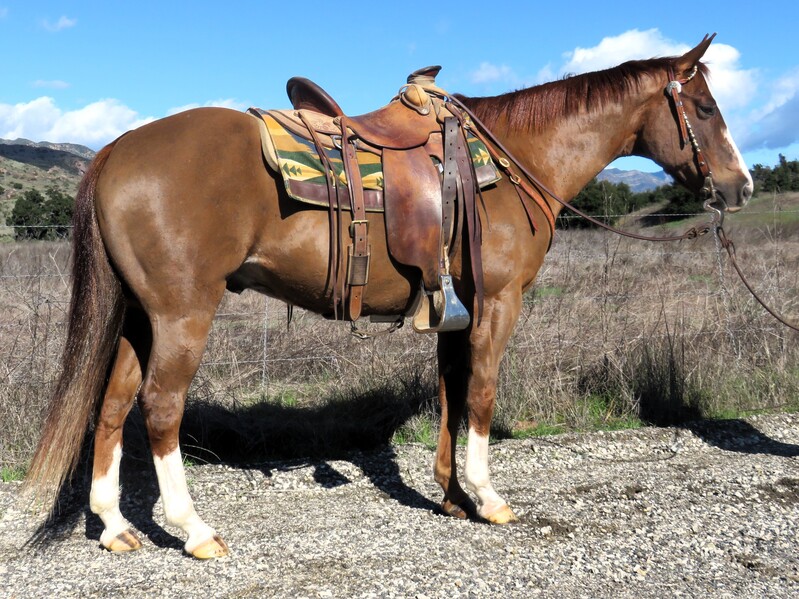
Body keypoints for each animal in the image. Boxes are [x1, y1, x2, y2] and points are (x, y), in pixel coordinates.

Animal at [25, 36, 752, 556]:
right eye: (705, 109)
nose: (740, 185)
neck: (513, 159)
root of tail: (117, 147)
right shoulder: (498, 303)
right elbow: (481, 393)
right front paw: (487, 497)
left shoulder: (457, 308)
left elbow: (451, 392)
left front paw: (452, 495)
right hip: (182, 314)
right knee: (160, 408)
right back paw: (194, 529)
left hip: (138, 317)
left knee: (113, 404)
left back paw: (115, 524)